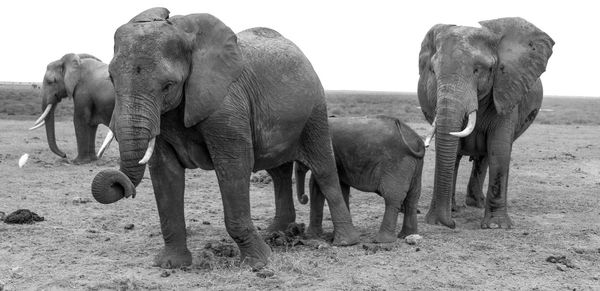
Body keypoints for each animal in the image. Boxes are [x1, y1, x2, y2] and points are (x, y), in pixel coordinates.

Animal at [91, 7, 358, 272]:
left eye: (168, 85)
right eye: (112, 79)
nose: (121, 186)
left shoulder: (227, 102)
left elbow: (233, 165)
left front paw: (259, 263)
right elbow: (165, 172)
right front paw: (171, 264)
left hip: (315, 111)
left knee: (324, 170)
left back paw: (344, 241)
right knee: (278, 173)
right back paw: (275, 233)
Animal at [292, 116, 424, 244]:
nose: (304, 197)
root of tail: (419, 142)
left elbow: (316, 186)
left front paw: (311, 236)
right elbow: (341, 188)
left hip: (396, 163)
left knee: (392, 197)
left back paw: (381, 241)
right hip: (416, 165)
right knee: (413, 197)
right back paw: (406, 235)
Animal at [420, 17, 556, 230]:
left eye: (478, 70)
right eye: (432, 71)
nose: (450, 224)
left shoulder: (507, 90)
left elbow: (499, 148)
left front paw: (496, 226)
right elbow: (453, 147)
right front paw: (440, 219)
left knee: (486, 155)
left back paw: (476, 204)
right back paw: (460, 206)